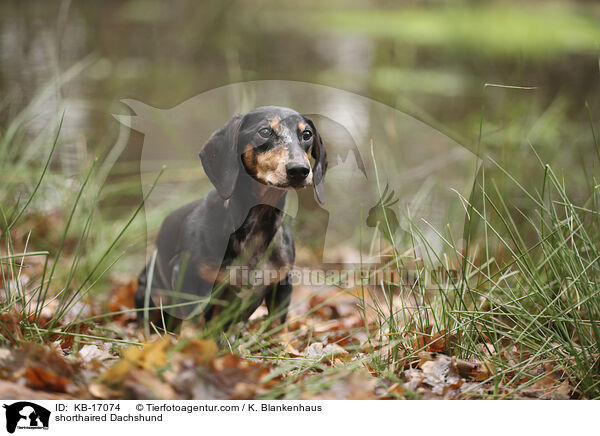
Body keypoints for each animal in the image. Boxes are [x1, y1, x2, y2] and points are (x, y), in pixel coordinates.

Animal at [135, 106, 328, 330]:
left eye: (307, 134)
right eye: (264, 131)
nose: (299, 170)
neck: (259, 223)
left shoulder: (281, 285)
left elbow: (277, 328)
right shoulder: (187, 278)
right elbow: (191, 326)